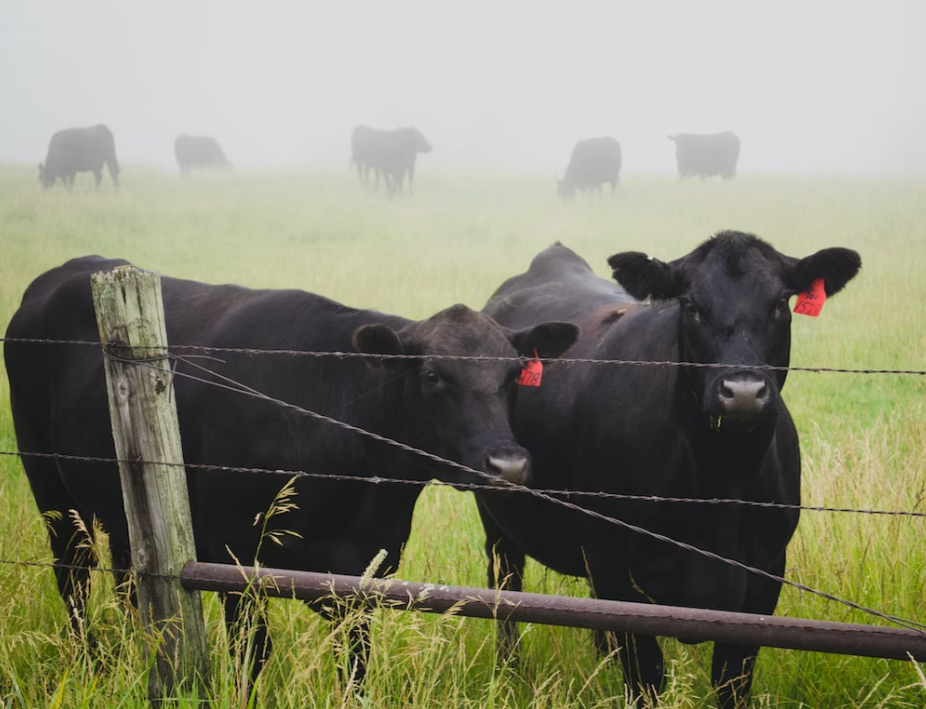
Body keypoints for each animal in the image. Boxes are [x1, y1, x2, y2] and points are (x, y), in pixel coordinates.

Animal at [3, 256, 576, 696]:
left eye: (513, 375)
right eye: (434, 376)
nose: (507, 465)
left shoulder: (363, 575)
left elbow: (356, 665)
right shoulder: (234, 557)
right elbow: (252, 655)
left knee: (128, 580)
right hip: (50, 488)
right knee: (74, 575)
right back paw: (93, 667)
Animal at [478, 234, 864, 708]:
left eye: (779, 302)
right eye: (691, 306)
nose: (743, 391)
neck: (720, 485)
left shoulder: (766, 574)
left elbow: (732, 678)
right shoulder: (614, 567)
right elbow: (645, 674)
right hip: (498, 516)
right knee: (506, 589)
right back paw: (509, 673)